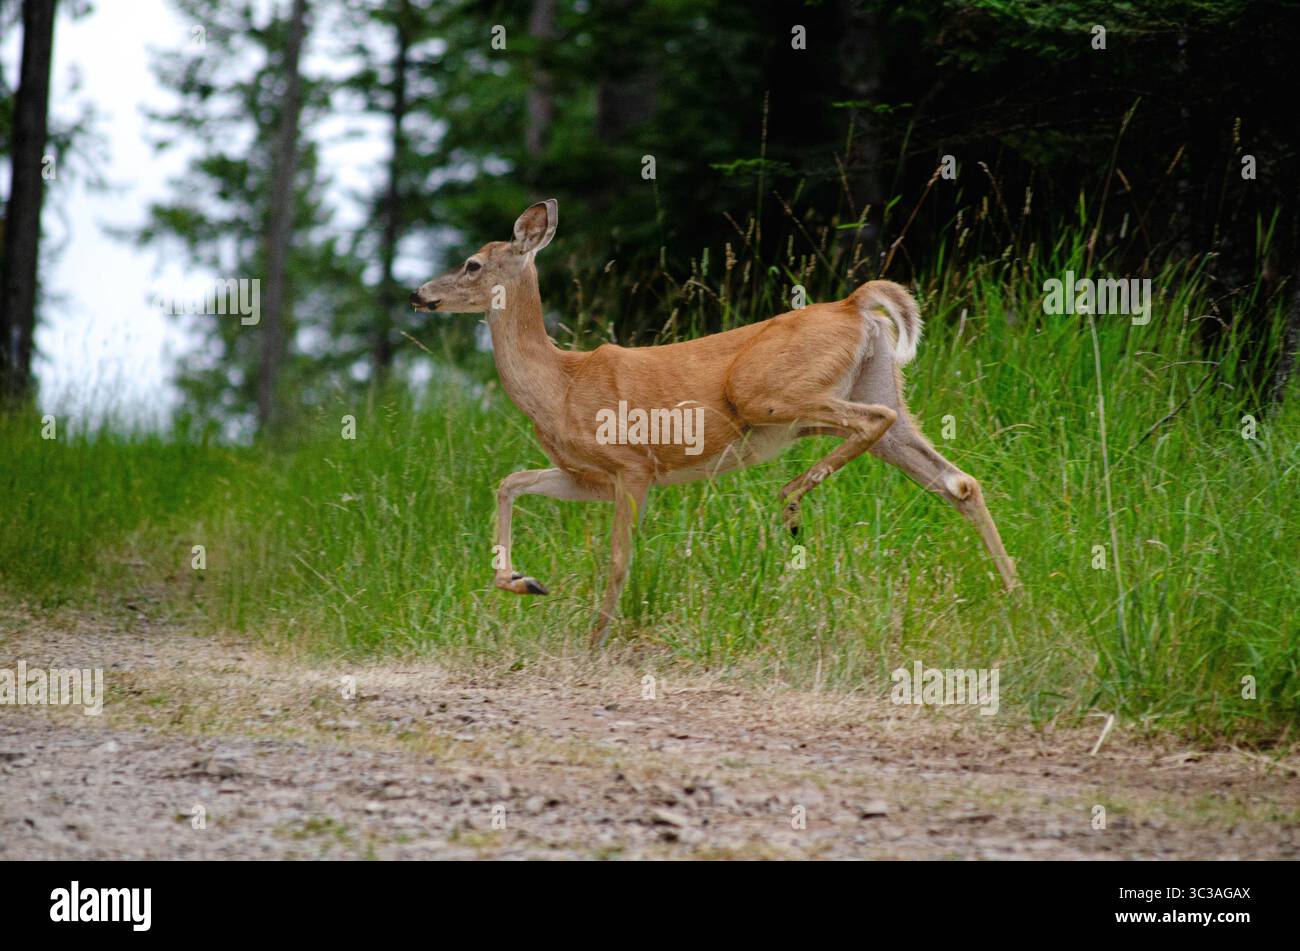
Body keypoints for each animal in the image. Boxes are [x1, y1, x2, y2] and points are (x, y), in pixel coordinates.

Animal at [411, 200, 1020, 646]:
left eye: (472, 263)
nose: (418, 293)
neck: (559, 386)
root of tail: (855, 305)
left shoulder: (632, 464)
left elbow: (617, 558)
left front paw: (596, 641)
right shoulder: (589, 476)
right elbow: (509, 482)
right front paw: (524, 582)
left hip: (763, 393)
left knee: (874, 421)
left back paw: (791, 499)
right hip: (871, 383)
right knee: (956, 479)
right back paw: (1014, 589)